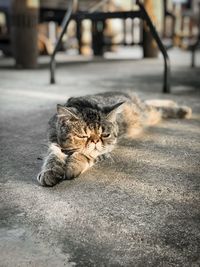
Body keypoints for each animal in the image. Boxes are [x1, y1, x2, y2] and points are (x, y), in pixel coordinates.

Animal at [36, 91, 191, 187]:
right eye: (83, 136)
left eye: (104, 135)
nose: (95, 141)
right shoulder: (53, 140)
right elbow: (53, 156)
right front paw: (49, 172)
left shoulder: (108, 147)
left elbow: (86, 154)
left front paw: (72, 165)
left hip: (147, 113)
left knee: (156, 107)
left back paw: (182, 110)